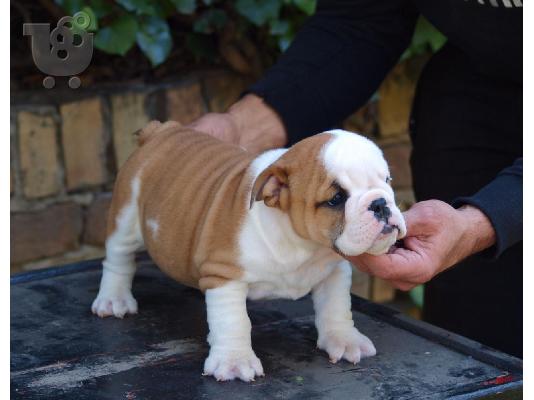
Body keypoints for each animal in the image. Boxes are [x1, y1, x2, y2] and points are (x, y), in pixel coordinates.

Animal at [92, 121, 406, 382]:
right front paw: (234, 361)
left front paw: (345, 339)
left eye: (387, 181)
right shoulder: (224, 276)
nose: (380, 204)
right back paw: (113, 299)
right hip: (126, 217)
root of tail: (160, 131)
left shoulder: (334, 271)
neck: (303, 243)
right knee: (118, 259)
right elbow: (234, 322)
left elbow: (336, 308)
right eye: (336, 199)